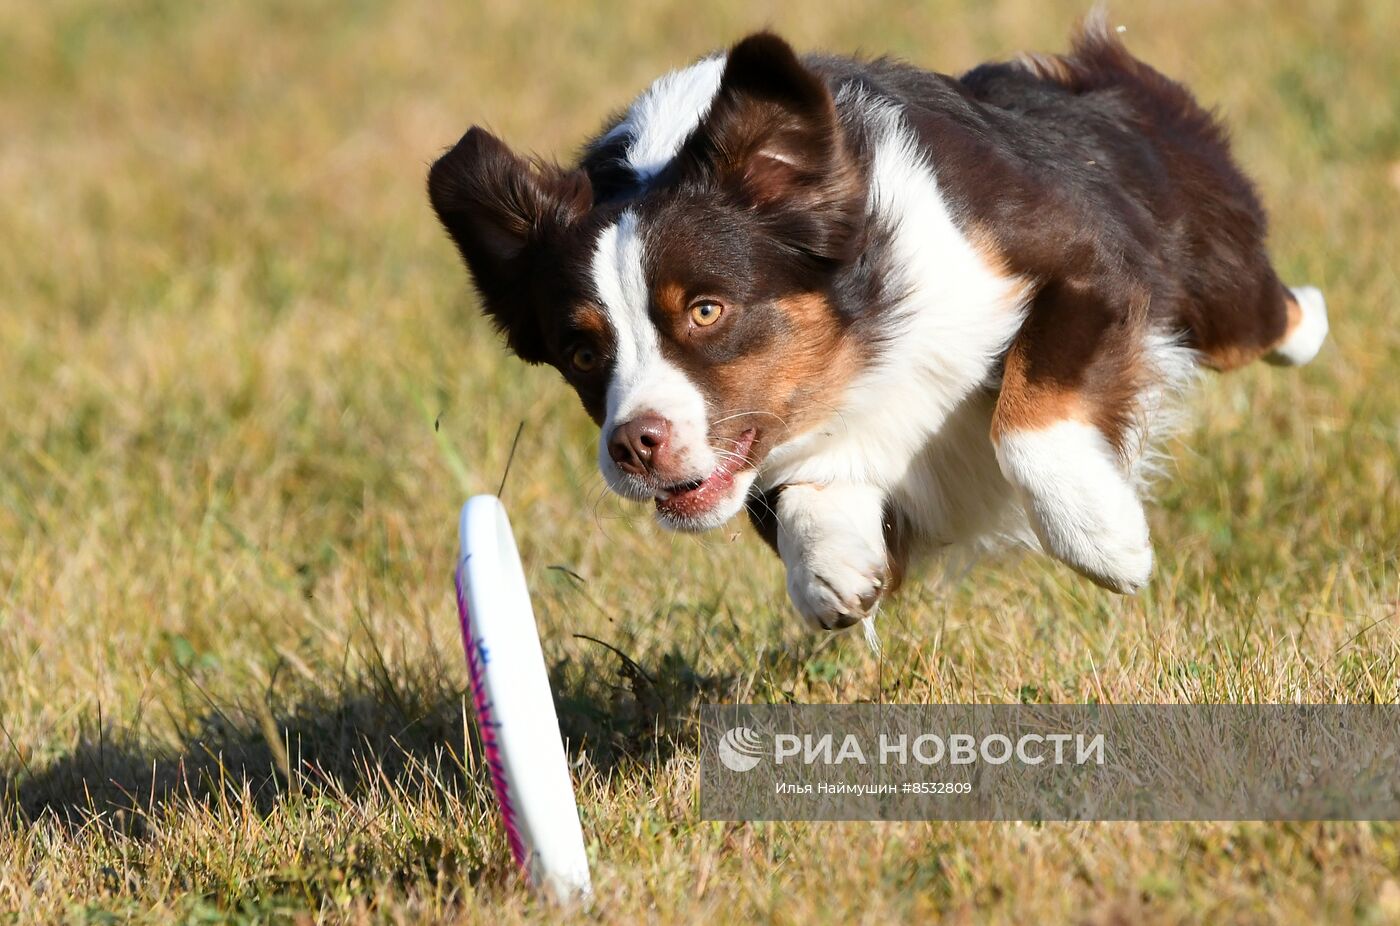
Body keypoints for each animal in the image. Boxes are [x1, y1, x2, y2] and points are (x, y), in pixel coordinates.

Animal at [425, 16, 1321, 627]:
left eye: (707, 310)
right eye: (582, 351)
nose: (635, 445)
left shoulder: (1086, 259)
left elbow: (1025, 419)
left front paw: (1105, 540)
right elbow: (797, 488)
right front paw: (831, 566)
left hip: (1215, 281)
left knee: (1272, 316)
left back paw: (1308, 321)